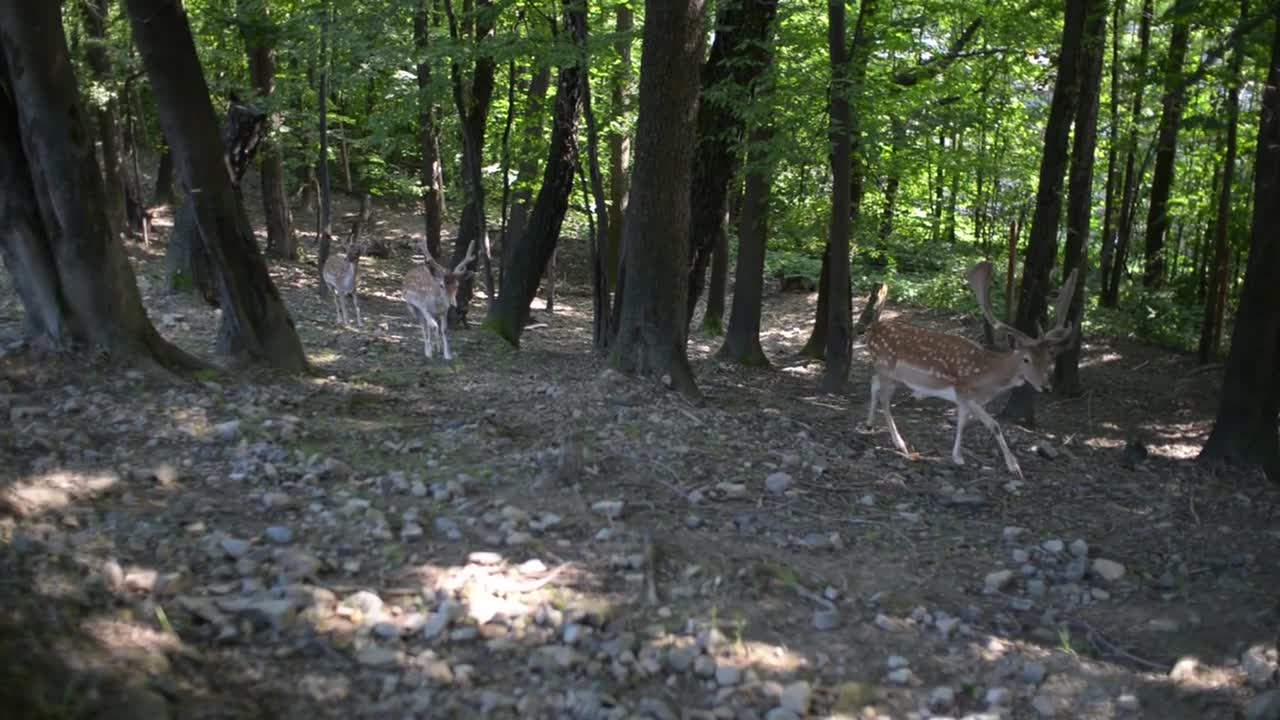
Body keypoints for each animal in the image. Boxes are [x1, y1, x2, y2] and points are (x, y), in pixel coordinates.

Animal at [860, 260, 1080, 479]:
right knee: (885, 399)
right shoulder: (964, 392)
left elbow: (968, 422)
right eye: (1026, 359)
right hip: (887, 368)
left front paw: (959, 456)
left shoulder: (969, 400)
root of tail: (872, 330)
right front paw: (1012, 466)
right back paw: (900, 444)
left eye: (1048, 357)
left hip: (888, 372)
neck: (989, 378)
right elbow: (992, 425)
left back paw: (869, 424)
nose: (1046, 386)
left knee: (874, 382)